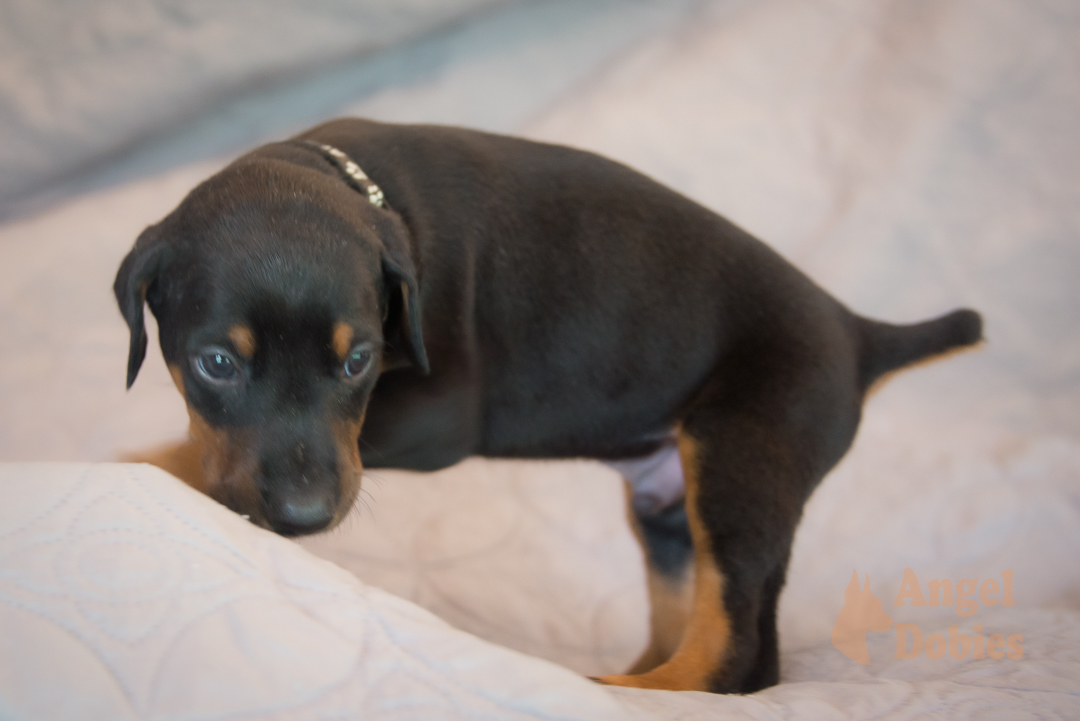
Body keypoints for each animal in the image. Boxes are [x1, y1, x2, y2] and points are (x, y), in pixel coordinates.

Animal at [113, 118, 984, 690]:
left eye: (357, 359)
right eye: (216, 362)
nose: (304, 517)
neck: (356, 182)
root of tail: (858, 331)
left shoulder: (436, 414)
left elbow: (197, 449)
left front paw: (148, 460)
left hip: (746, 452)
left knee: (734, 654)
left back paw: (616, 691)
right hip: (671, 498)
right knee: (702, 616)